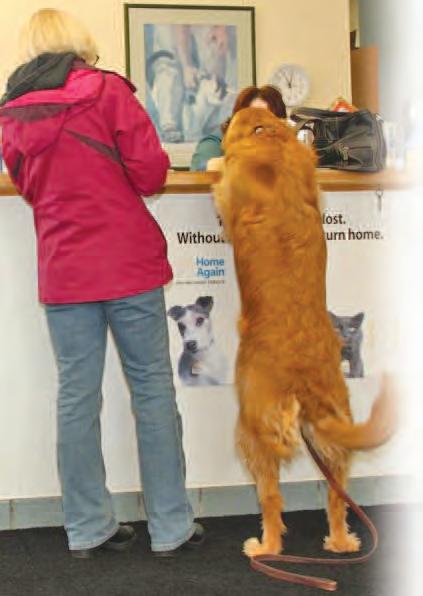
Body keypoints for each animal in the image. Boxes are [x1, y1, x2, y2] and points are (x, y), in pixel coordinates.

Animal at [212, 107, 396, 557]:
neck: (272, 138)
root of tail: (301, 375)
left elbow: (223, 182)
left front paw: (215, 161)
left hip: (253, 433)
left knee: (271, 498)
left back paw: (265, 546)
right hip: (334, 434)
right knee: (336, 497)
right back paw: (341, 540)